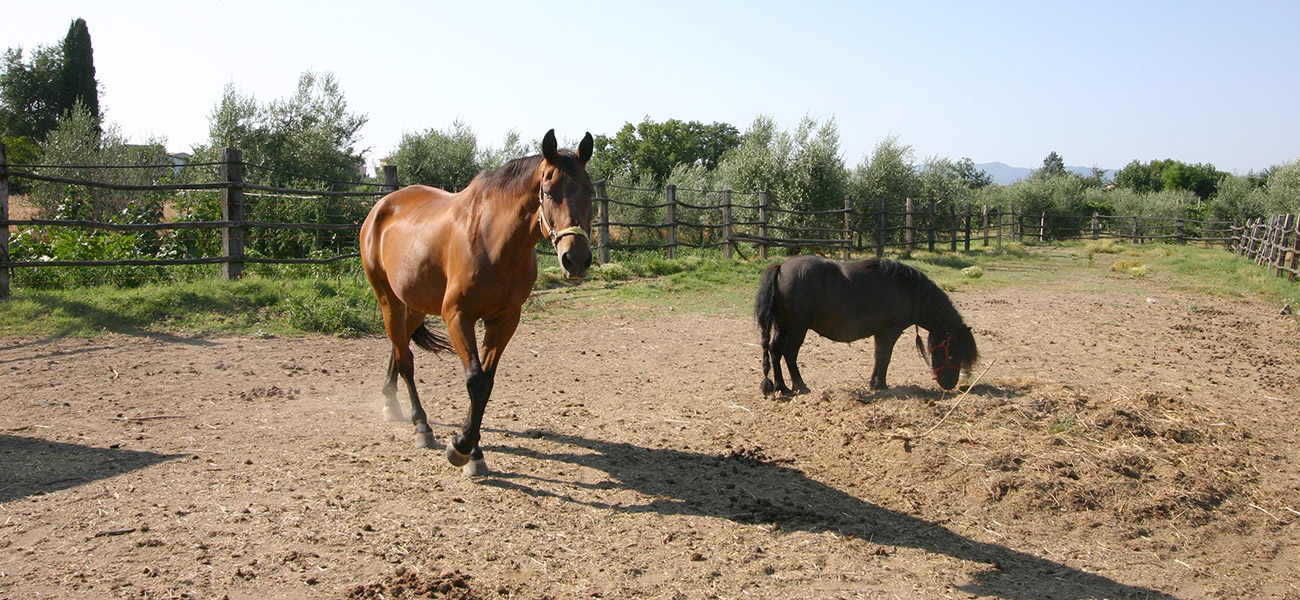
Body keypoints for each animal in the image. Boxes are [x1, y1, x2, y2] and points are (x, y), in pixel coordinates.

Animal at [361, 129, 595, 475]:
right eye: (549, 192)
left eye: (590, 192)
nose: (575, 260)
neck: (493, 240)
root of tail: (382, 207)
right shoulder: (458, 316)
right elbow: (476, 380)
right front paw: (461, 448)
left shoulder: (505, 319)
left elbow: (487, 381)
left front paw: (472, 448)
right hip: (388, 298)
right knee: (405, 360)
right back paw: (421, 426)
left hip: (414, 304)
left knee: (398, 346)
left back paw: (391, 403)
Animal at [759, 257, 977, 394]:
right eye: (953, 352)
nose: (950, 383)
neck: (910, 290)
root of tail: (780, 267)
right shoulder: (890, 332)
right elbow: (884, 357)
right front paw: (880, 385)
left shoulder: (880, 333)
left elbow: (878, 356)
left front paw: (875, 383)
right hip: (797, 328)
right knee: (789, 353)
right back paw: (799, 386)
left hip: (782, 326)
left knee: (775, 351)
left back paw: (782, 387)